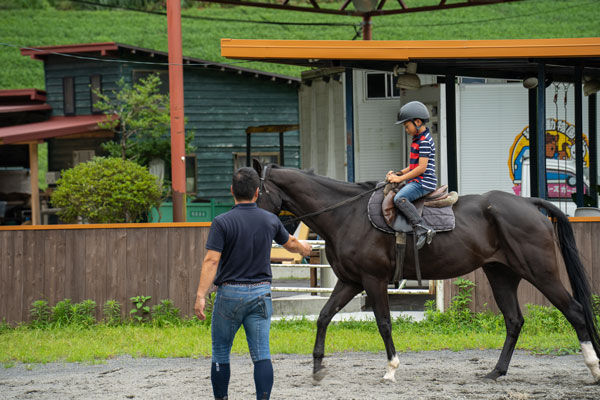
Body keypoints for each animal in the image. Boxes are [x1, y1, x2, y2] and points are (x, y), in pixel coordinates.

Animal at [253, 161, 600, 382]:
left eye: (255, 190)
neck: (346, 213)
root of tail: (529, 203)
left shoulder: (373, 280)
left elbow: (383, 323)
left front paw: (391, 369)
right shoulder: (351, 281)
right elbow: (324, 316)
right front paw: (317, 368)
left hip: (540, 272)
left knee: (575, 311)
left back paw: (593, 367)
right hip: (501, 274)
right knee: (514, 321)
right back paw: (496, 372)